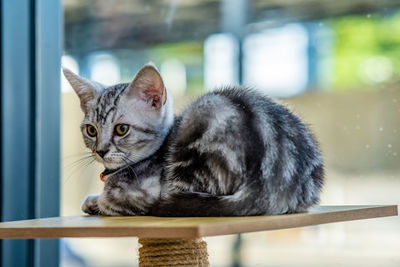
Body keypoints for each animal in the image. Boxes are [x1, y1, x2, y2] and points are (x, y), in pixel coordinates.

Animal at [63, 63, 324, 218]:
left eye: (122, 129)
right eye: (91, 131)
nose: (101, 151)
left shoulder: (142, 194)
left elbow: (111, 201)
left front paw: (95, 201)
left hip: (200, 121)